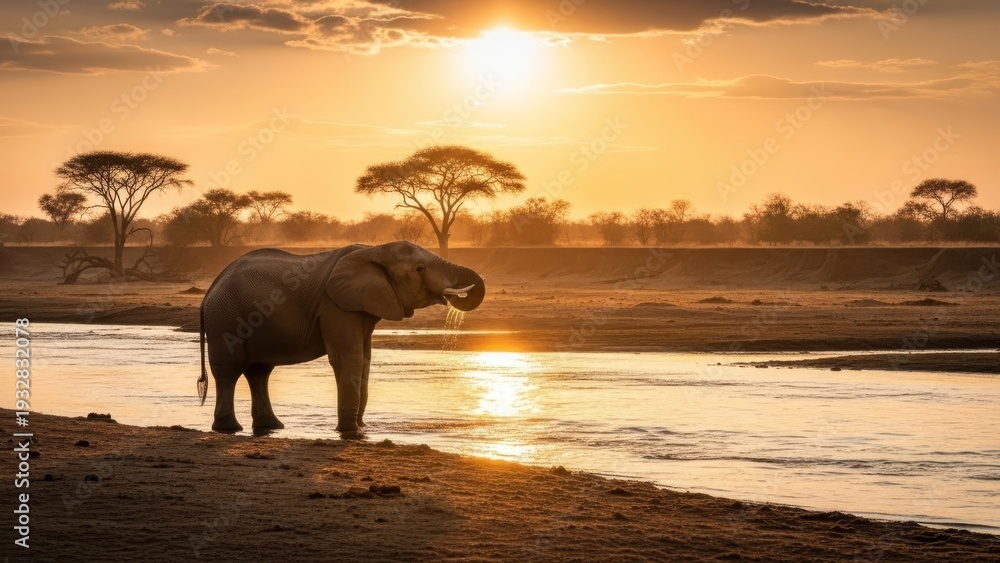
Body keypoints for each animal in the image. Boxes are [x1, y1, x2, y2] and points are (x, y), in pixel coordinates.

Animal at [196, 241, 485, 434]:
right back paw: (229, 428)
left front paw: (361, 428)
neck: (374, 250)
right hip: (225, 319)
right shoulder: (335, 305)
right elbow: (349, 358)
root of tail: (211, 288)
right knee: (228, 371)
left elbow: (365, 359)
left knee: (259, 372)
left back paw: (273, 426)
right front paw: (349, 432)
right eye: (420, 269)